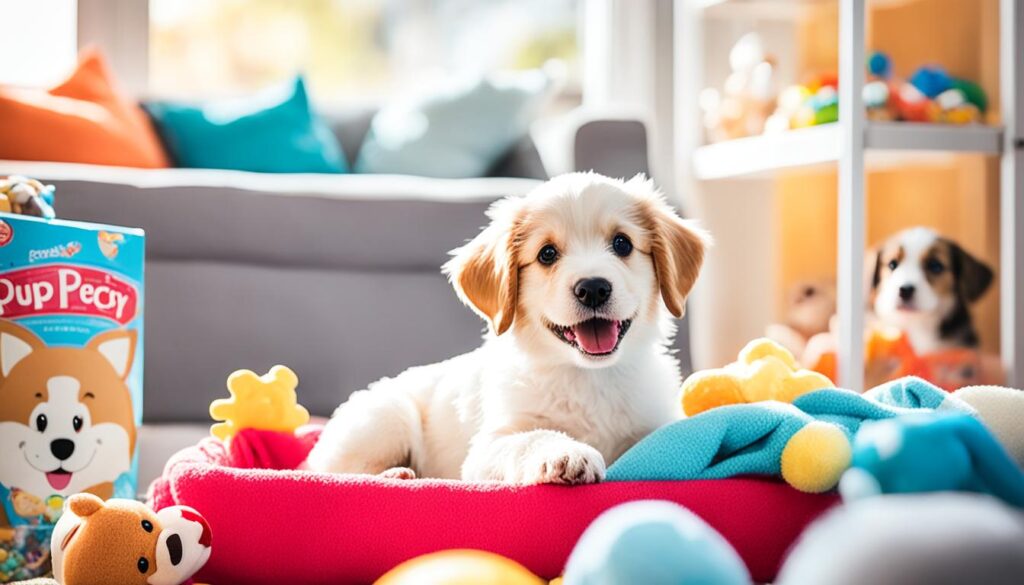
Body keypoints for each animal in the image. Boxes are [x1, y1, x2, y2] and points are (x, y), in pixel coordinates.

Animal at [307, 173, 708, 485]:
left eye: (622, 243)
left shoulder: (653, 421)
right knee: (334, 472)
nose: (593, 288)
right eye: (547, 254)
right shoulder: (487, 447)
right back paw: (395, 473)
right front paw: (565, 452)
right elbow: (531, 437)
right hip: (387, 416)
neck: (588, 377)